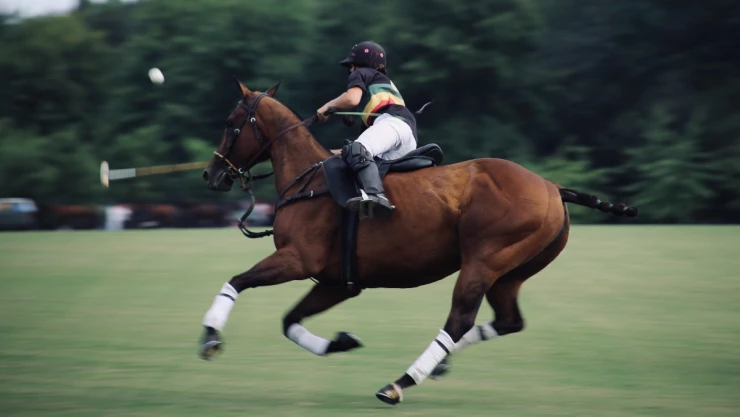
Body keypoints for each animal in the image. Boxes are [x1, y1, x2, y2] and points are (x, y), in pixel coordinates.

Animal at [198, 79, 638, 406]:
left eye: (231, 122)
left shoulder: (298, 260)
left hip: (484, 260)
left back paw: (399, 383)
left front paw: (209, 338)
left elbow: (236, 281)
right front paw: (341, 342)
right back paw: (438, 366)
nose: (211, 175)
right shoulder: (337, 282)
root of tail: (552, 187)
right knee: (508, 321)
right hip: (511, 272)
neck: (308, 180)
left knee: (459, 320)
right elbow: (290, 320)